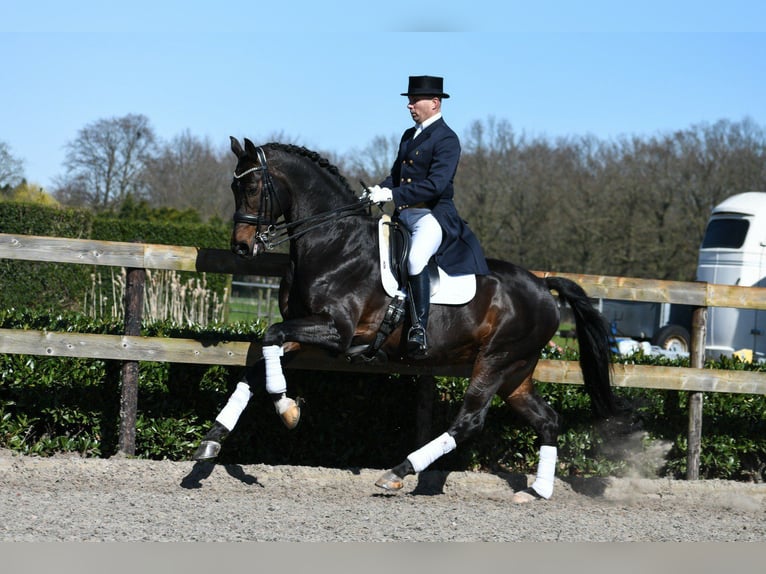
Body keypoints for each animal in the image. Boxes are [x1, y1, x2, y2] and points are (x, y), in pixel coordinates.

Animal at [194, 136, 624, 504]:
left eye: (252, 187)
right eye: (234, 187)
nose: (242, 247)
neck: (334, 242)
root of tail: (542, 286)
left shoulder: (336, 330)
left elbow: (269, 336)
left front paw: (286, 408)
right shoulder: (304, 331)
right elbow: (258, 366)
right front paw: (212, 442)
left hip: (496, 360)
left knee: (470, 421)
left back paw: (398, 472)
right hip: (516, 371)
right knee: (547, 420)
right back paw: (537, 491)